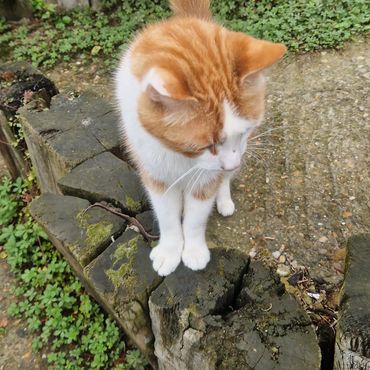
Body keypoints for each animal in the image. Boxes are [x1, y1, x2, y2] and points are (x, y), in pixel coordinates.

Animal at [115, 0, 286, 274]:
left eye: (246, 131)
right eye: (208, 145)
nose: (232, 164)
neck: (181, 157)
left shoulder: (207, 179)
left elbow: (195, 219)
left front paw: (194, 250)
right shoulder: (156, 175)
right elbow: (168, 219)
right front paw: (170, 251)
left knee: (223, 182)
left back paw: (224, 199)